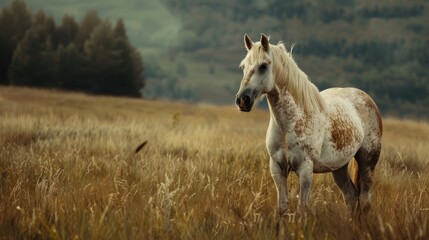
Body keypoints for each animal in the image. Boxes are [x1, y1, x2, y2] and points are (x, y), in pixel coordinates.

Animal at [234, 33, 382, 216]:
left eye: (263, 66)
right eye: (243, 66)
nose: (242, 100)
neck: (289, 125)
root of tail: (367, 99)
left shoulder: (305, 169)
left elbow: (301, 209)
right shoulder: (277, 168)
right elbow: (282, 207)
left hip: (367, 162)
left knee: (365, 201)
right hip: (339, 167)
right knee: (351, 197)